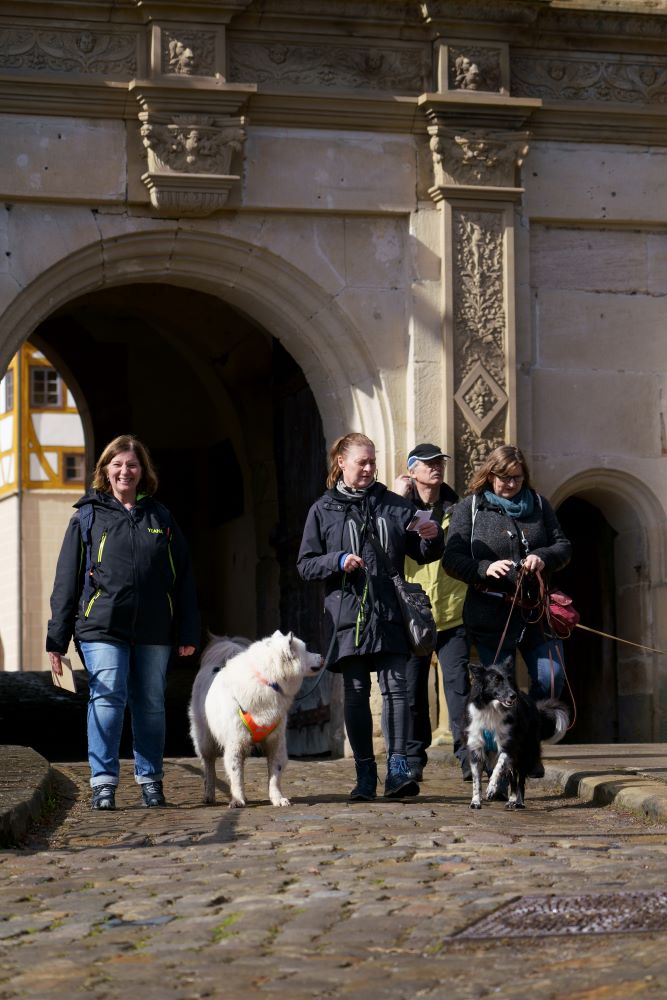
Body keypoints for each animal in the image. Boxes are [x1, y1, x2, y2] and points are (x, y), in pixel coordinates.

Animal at [188, 631, 323, 808]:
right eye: (306, 650)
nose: (322, 656)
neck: (268, 681)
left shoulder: (275, 743)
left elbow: (275, 774)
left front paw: (278, 799)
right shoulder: (235, 743)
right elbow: (235, 774)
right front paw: (237, 800)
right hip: (206, 740)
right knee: (209, 766)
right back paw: (209, 795)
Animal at [464, 656, 569, 811]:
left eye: (510, 679)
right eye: (496, 680)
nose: (513, 696)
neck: (492, 709)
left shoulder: (509, 746)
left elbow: (498, 768)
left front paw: (491, 788)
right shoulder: (476, 747)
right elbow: (476, 780)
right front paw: (475, 801)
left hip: (525, 751)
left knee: (520, 780)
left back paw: (518, 802)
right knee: (513, 778)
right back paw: (512, 800)